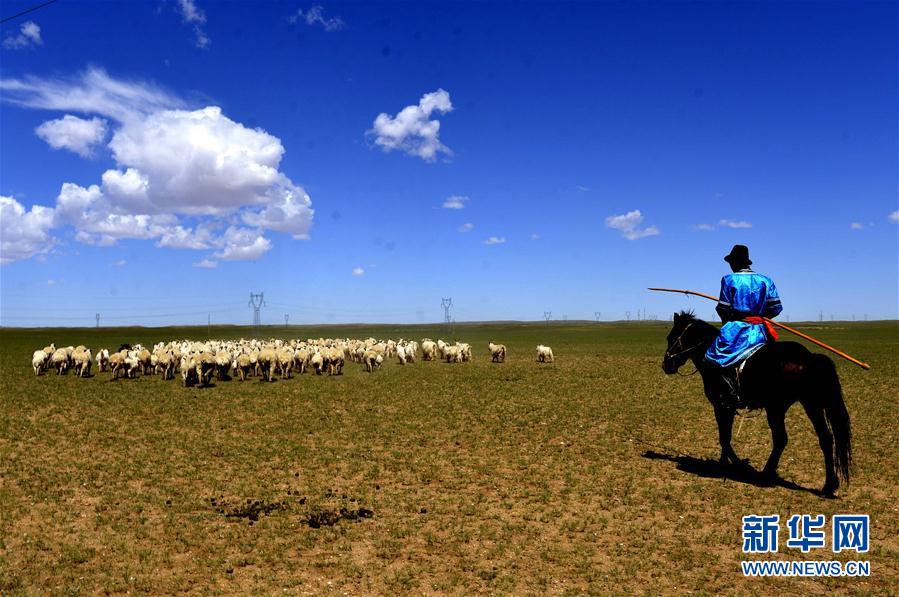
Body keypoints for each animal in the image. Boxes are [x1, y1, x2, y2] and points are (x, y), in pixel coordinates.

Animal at [660, 310, 852, 496]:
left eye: (671, 337)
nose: (666, 365)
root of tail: (809, 358)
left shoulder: (721, 405)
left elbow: (724, 437)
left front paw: (732, 465)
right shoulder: (727, 408)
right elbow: (725, 436)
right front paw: (727, 463)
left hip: (779, 407)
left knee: (782, 438)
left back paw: (766, 474)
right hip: (810, 405)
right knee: (825, 438)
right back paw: (829, 485)